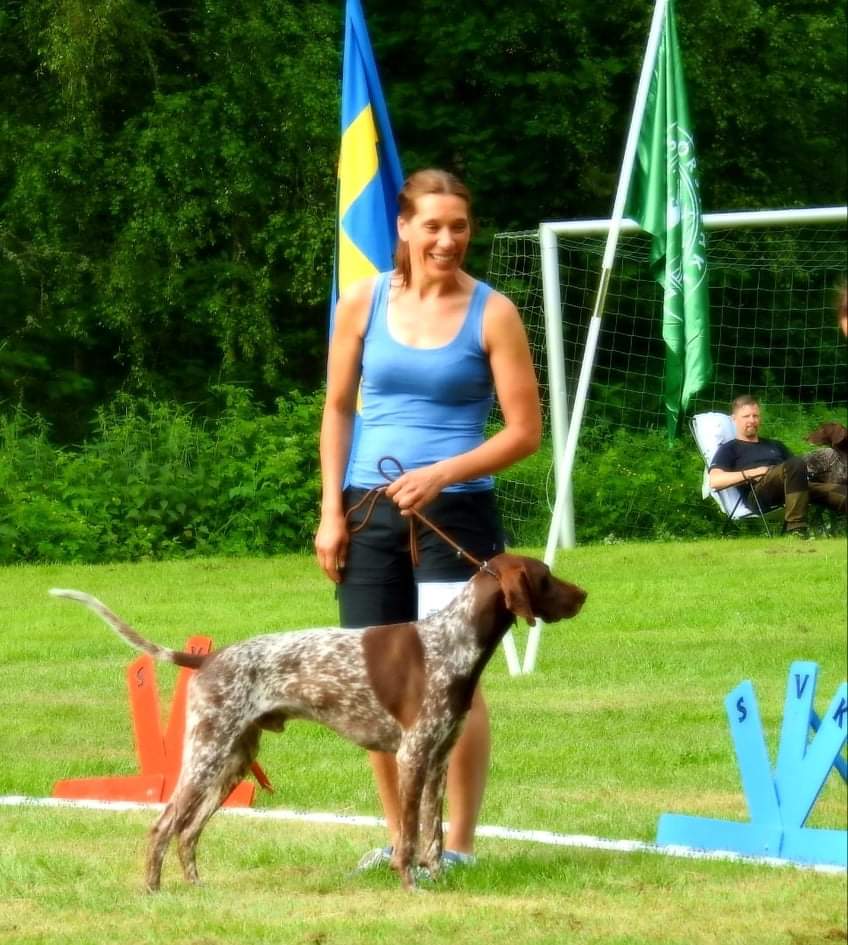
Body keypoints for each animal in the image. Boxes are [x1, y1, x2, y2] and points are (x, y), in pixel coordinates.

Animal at [50, 553, 586, 891]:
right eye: (546, 576)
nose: (584, 594)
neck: (452, 641)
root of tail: (208, 659)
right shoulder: (412, 756)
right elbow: (409, 838)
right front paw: (411, 886)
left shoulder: (438, 760)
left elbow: (433, 837)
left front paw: (437, 883)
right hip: (206, 755)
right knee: (163, 826)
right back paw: (154, 892)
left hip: (234, 762)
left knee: (188, 832)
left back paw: (197, 887)